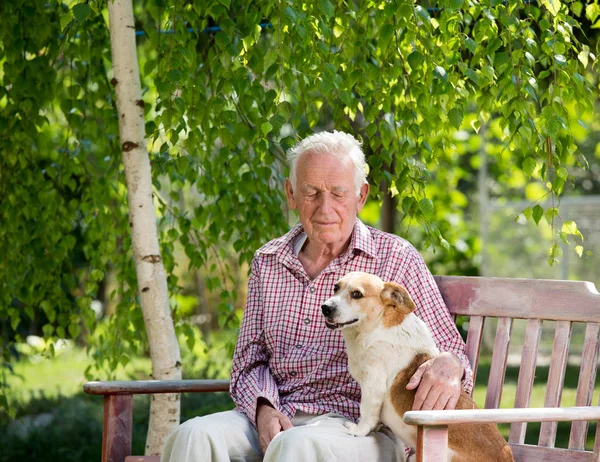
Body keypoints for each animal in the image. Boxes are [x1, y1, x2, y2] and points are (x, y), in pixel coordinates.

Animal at [322, 272, 512, 460]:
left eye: (357, 294)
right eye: (335, 287)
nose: (325, 308)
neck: (376, 326)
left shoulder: (373, 384)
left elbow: (367, 413)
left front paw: (358, 430)